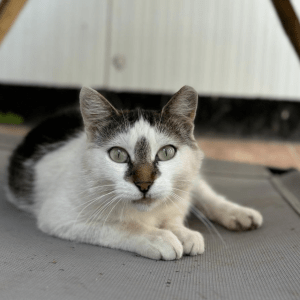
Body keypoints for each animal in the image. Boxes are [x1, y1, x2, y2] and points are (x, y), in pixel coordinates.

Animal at [5, 86, 262, 260]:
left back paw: (239, 213)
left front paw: (182, 232)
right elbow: (120, 225)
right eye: (118, 155)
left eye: (166, 152)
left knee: (203, 192)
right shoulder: (60, 215)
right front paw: (159, 236)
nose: (144, 184)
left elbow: (175, 214)